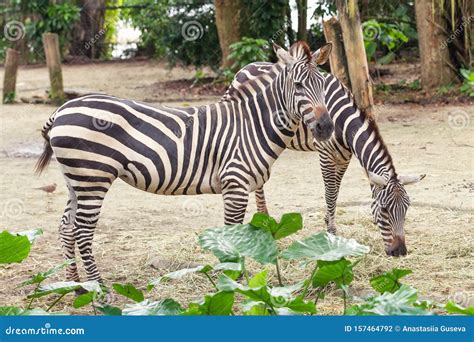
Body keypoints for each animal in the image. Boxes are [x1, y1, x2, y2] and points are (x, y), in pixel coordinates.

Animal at [35, 41, 336, 282]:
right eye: (298, 86)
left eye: (323, 85)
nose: (326, 128)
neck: (253, 124)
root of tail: (62, 109)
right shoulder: (235, 185)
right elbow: (231, 233)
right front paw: (234, 280)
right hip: (93, 178)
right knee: (83, 232)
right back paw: (99, 290)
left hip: (76, 180)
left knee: (66, 228)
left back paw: (76, 286)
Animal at [224, 60, 428, 256]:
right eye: (385, 209)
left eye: (407, 208)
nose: (400, 253)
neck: (343, 122)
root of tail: (245, 67)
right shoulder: (325, 154)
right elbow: (330, 193)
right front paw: (331, 234)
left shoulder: (344, 157)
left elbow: (336, 192)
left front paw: (328, 222)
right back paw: (263, 220)